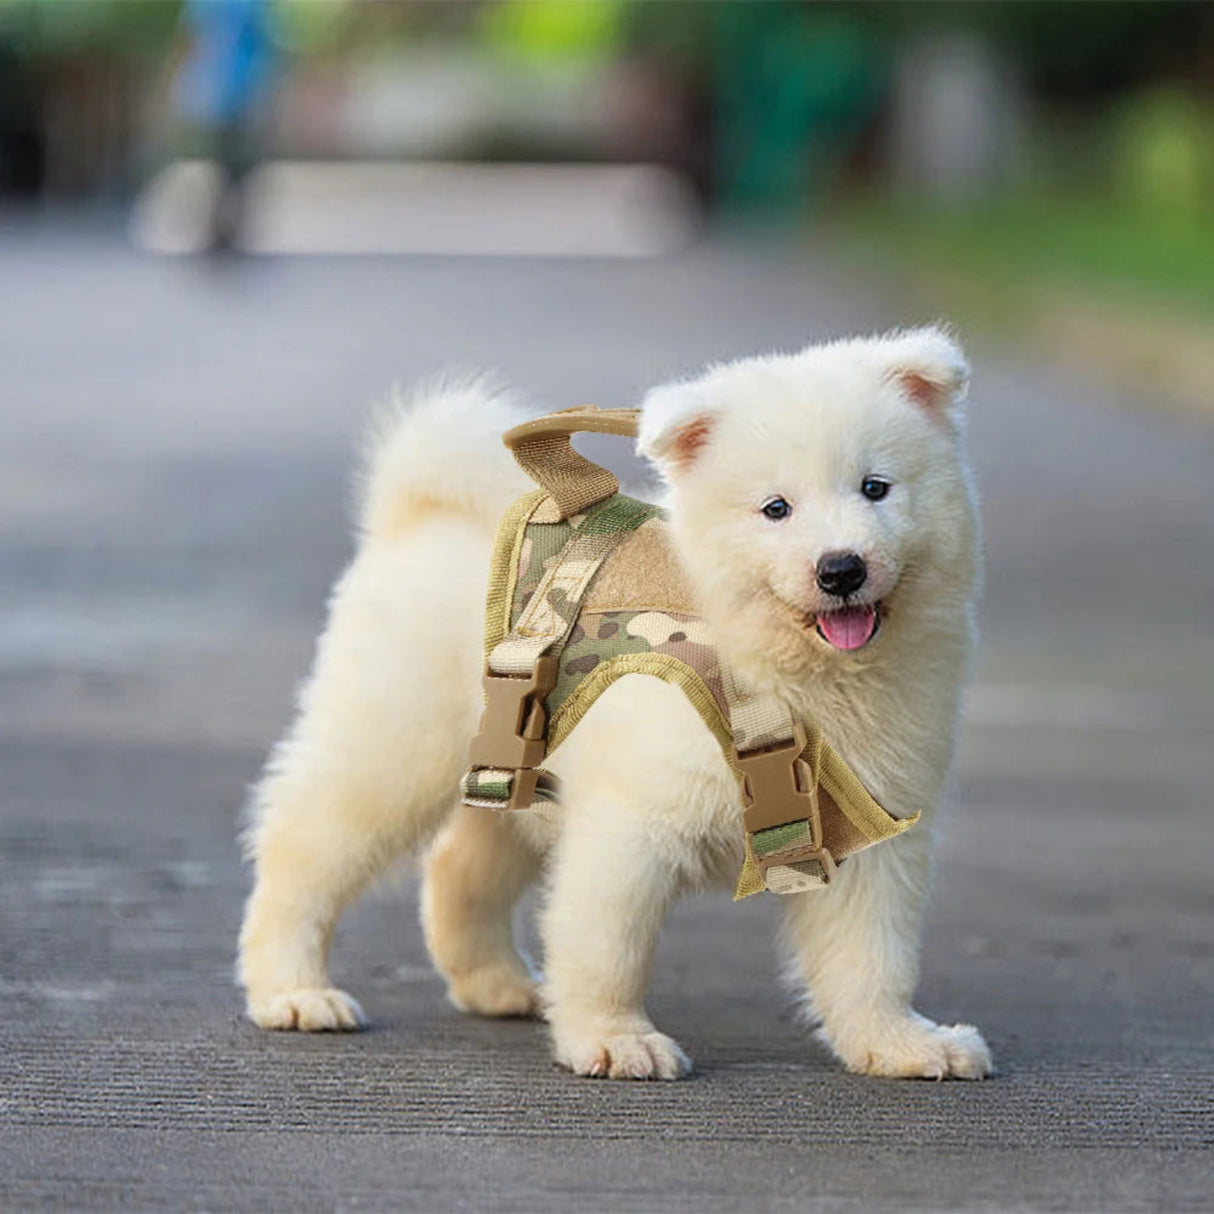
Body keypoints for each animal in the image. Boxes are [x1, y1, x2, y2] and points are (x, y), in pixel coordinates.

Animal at [239, 325, 995, 1082]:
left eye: (876, 488)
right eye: (775, 508)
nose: (841, 569)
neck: (780, 671)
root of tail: (418, 513)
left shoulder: (873, 830)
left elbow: (875, 960)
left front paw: (900, 1044)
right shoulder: (631, 822)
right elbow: (608, 946)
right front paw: (614, 1039)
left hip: (514, 768)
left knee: (458, 867)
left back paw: (499, 986)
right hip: (393, 744)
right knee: (302, 850)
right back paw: (293, 991)